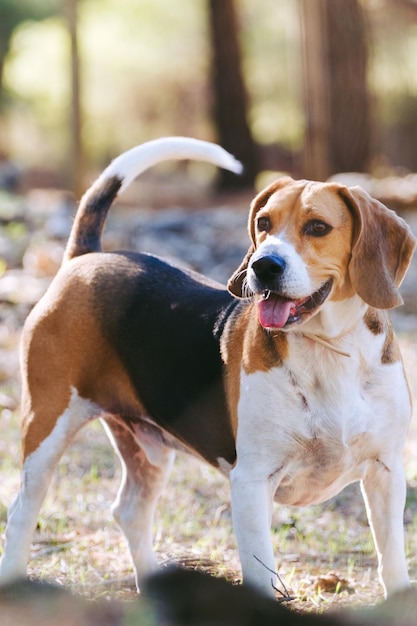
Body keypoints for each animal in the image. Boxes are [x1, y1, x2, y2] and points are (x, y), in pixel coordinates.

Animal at [0, 136, 414, 596]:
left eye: (318, 227)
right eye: (264, 223)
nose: (263, 265)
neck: (329, 348)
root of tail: (85, 258)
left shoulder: (386, 472)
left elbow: (393, 563)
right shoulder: (251, 482)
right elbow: (261, 573)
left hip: (147, 449)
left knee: (129, 512)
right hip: (46, 429)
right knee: (21, 513)